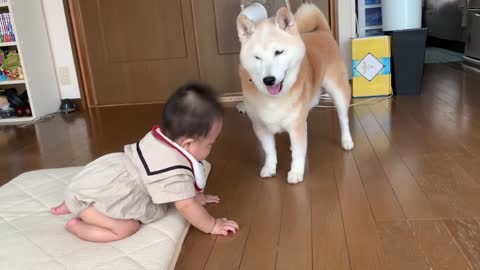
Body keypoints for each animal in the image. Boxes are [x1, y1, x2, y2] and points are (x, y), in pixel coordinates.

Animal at [236, 2, 352, 184]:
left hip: (338, 92)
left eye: (278, 52)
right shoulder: (261, 126)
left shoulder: (296, 123)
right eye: (257, 58)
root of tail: (322, 31)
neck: (274, 98)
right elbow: (269, 151)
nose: (269, 80)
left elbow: (298, 152)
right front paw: (269, 168)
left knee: (343, 119)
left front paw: (296, 172)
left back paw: (347, 141)